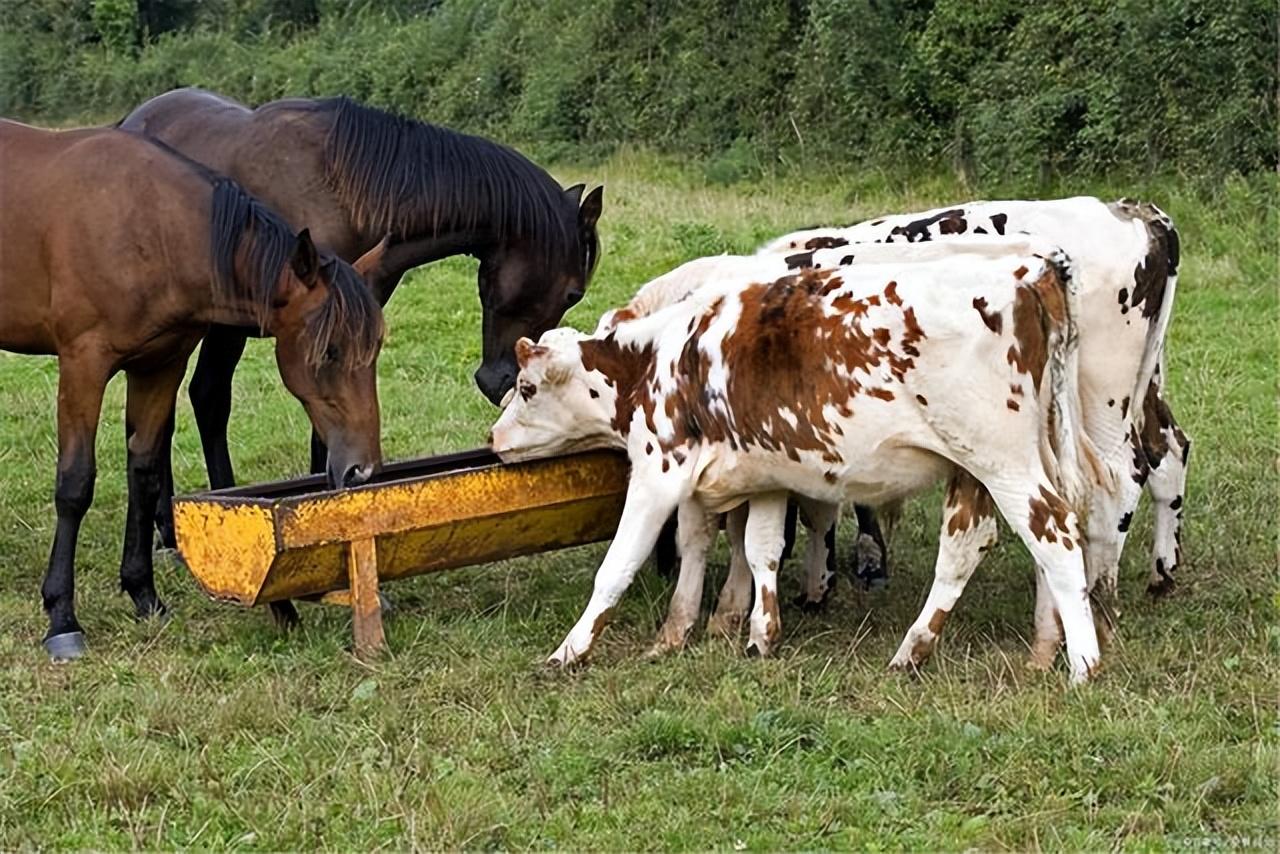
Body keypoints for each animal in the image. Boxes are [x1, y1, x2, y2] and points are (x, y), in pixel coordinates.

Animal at [0, 117, 384, 660]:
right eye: (329, 351)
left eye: (376, 348)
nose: (362, 470)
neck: (150, 228)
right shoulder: (83, 364)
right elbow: (75, 484)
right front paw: (62, 618)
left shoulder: (160, 366)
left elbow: (144, 473)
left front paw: (144, 594)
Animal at [488, 243, 1111, 686]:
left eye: (527, 387)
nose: (494, 438)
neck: (660, 355)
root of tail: (1028, 273)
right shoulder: (761, 470)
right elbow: (756, 548)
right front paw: (742, 633)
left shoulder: (659, 473)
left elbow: (616, 567)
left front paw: (569, 650)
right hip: (998, 463)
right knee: (980, 546)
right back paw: (980, 649)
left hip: (1003, 460)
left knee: (1052, 534)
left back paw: (1082, 665)